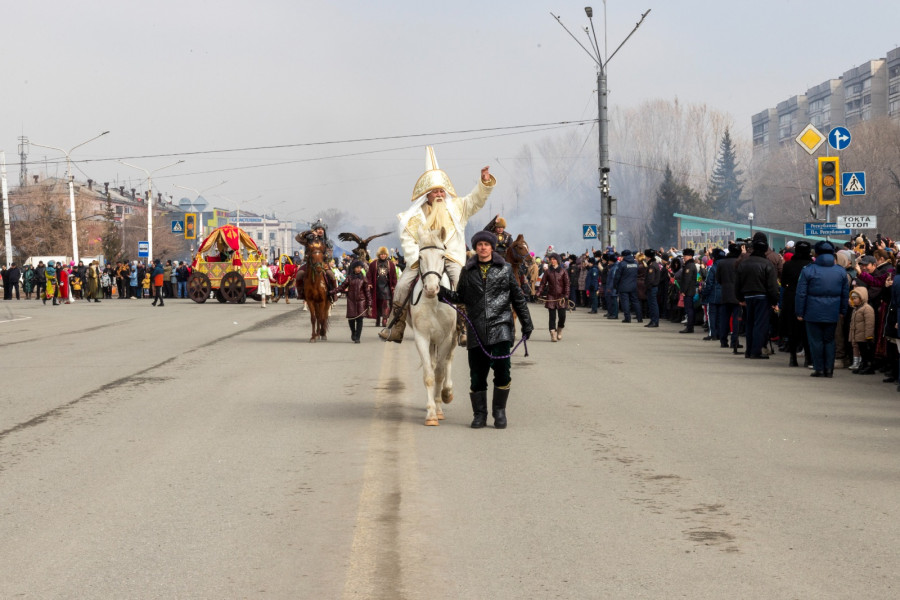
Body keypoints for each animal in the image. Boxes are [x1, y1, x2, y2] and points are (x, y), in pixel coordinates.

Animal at [408, 226, 458, 426]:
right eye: (420, 257)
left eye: (442, 256)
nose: (430, 289)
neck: (434, 302)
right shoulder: (422, 337)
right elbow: (429, 375)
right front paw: (430, 414)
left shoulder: (446, 337)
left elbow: (439, 373)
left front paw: (438, 407)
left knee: (448, 361)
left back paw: (446, 394)